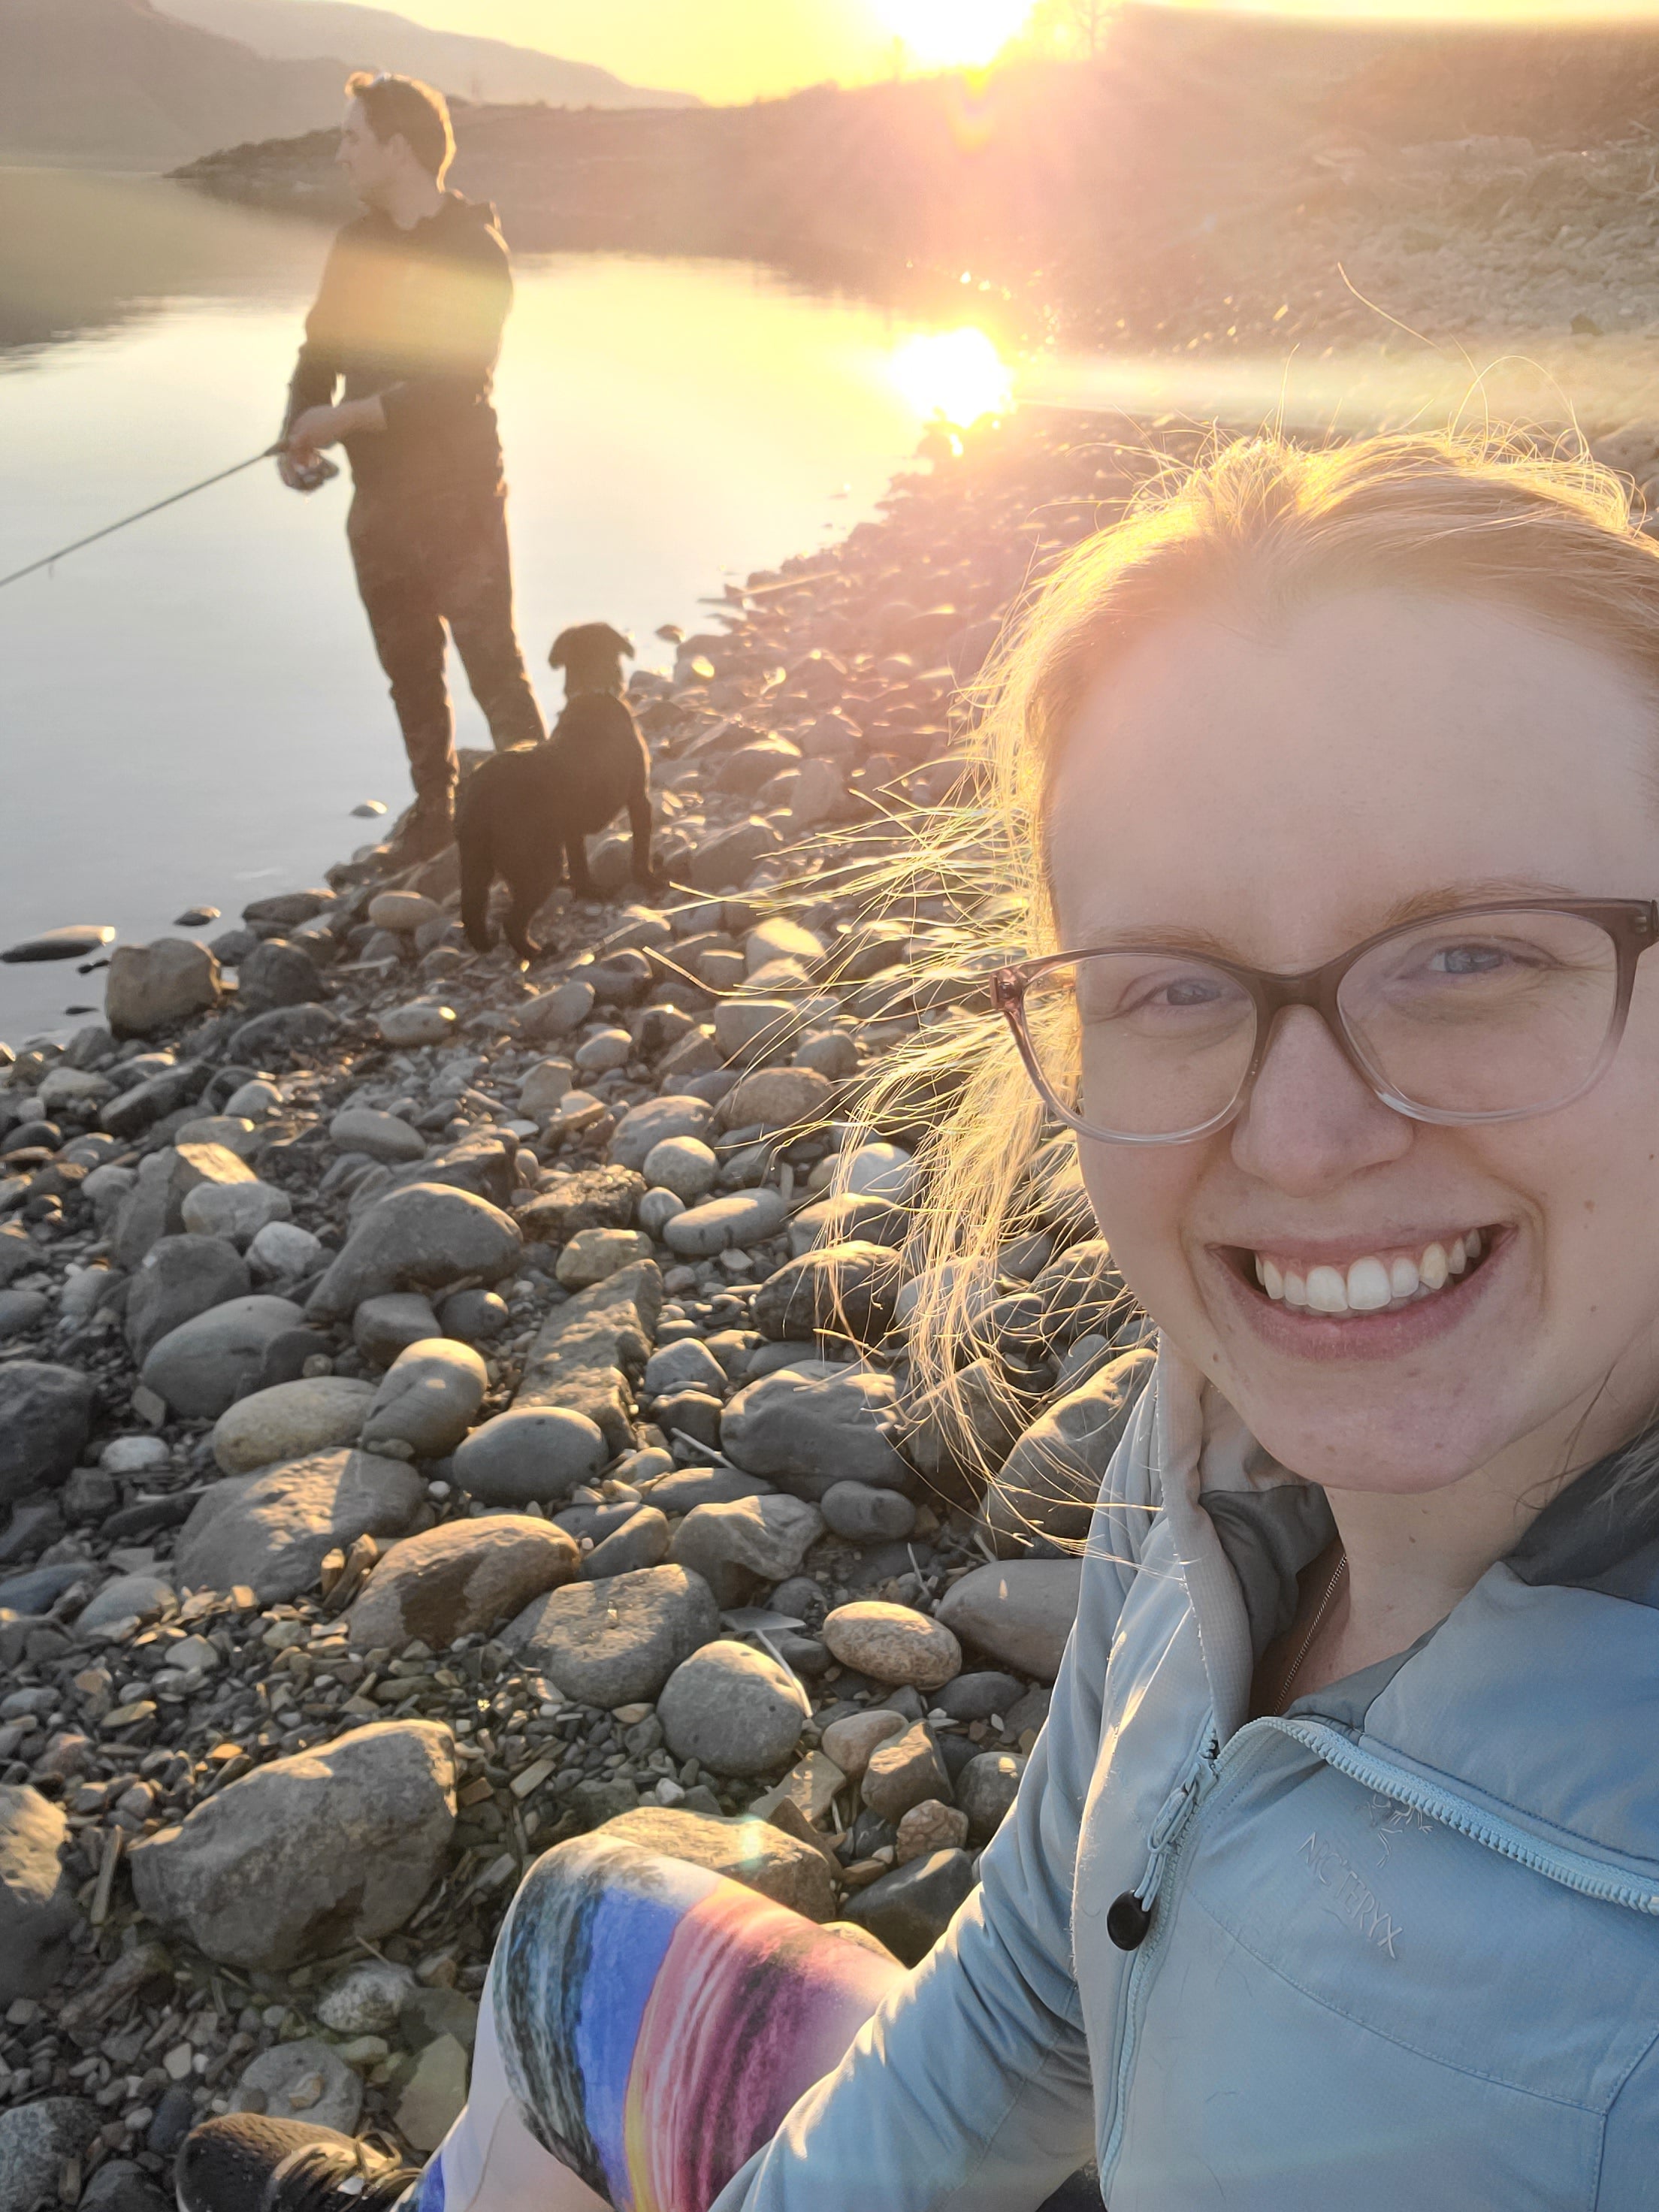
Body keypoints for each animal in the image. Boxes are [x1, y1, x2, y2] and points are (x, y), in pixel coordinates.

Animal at [462, 628, 663, 964]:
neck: (591, 692)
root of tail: (477, 799)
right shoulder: (638, 798)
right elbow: (640, 848)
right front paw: (649, 879)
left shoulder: (571, 828)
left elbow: (580, 862)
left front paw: (589, 890)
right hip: (539, 865)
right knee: (512, 922)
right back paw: (537, 952)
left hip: (480, 865)